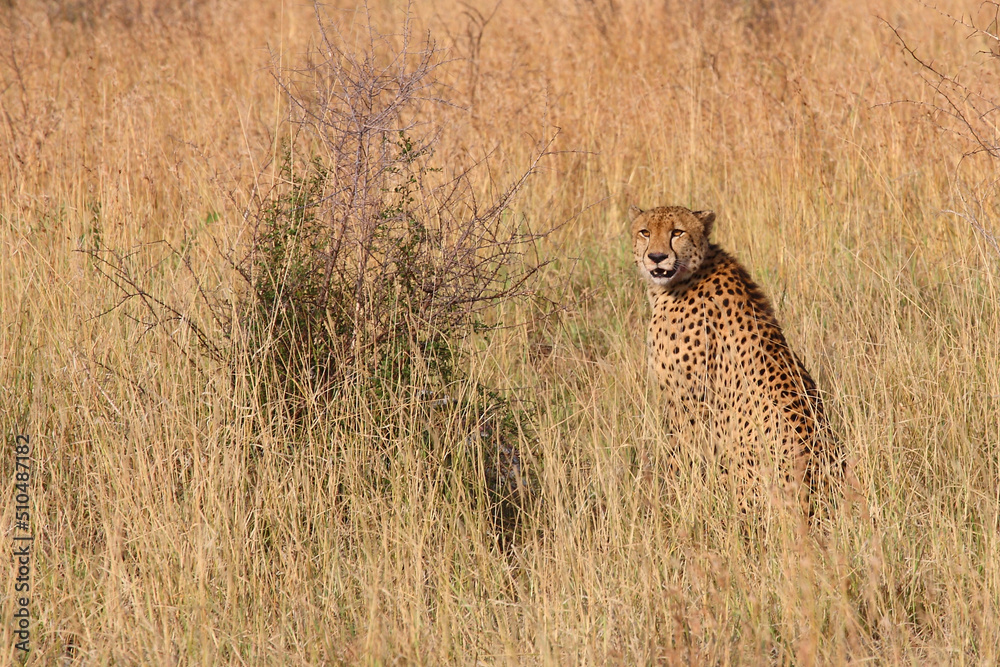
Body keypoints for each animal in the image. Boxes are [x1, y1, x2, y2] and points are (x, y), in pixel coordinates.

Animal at [630, 204, 840, 514]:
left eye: (677, 232)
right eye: (645, 232)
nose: (656, 257)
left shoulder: (689, 401)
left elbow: (679, 454)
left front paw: (673, 497)